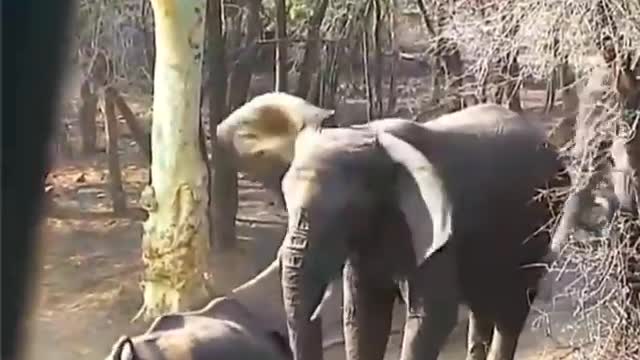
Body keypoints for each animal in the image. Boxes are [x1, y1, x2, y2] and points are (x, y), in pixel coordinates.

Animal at [278, 102, 568, 360]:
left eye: (348, 210)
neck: (369, 137)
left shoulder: (440, 230)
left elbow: (433, 315)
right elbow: (364, 316)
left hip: (541, 217)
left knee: (513, 306)